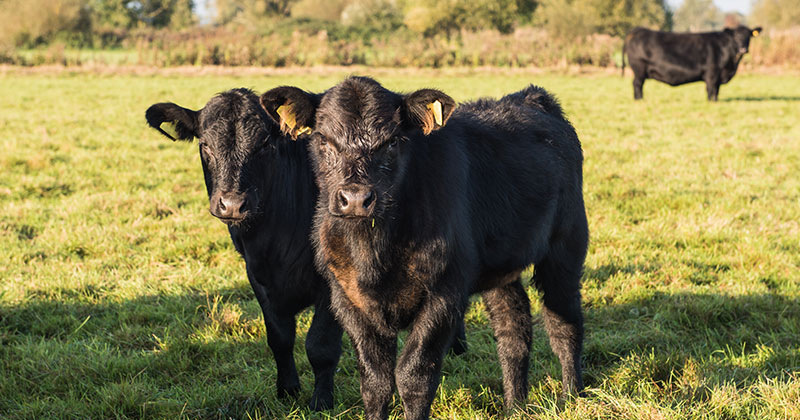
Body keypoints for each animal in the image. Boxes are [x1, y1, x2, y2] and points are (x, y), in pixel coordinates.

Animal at [145, 89, 344, 410]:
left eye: (264, 144)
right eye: (205, 145)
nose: (232, 204)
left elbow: (320, 345)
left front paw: (321, 401)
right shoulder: (258, 277)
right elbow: (280, 339)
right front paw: (287, 391)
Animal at [260, 76, 588, 420]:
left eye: (392, 141)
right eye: (323, 140)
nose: (356, 199)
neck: (374, 254)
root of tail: (530, 96)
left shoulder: (444, 294)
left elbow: (413, 376)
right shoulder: (347, 299)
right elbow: (375, 382)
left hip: (566, 245)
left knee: (564, 323)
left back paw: (572, 395)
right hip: (501, 269)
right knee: (513, 329)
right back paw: (514, 406)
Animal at [624, 25, 764, 100]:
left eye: (749, 36)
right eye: (735, 36)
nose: (743, 48)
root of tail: (637, 30)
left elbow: (716, 91)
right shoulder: (712, 73)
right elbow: (712, 90)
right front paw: (712, 102)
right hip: (639, 69)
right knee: (637, 84)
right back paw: (639, 100)